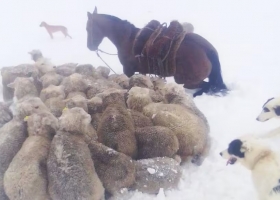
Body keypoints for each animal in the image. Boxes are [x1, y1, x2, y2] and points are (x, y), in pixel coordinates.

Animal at [86, 7, 229, 96]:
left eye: (88, 28)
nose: (89, 47)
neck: (128, 39)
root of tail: (208, 49)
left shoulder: (128, 70)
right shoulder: (141, 71)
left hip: (186, 81)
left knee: (208, 86)